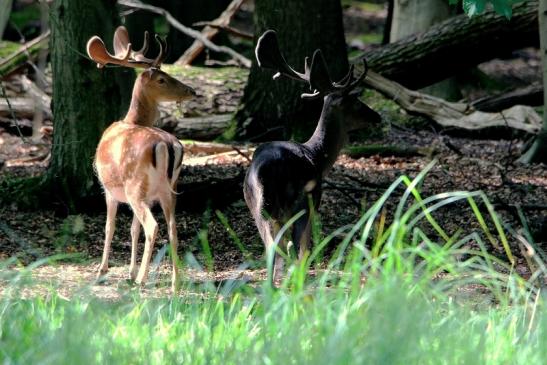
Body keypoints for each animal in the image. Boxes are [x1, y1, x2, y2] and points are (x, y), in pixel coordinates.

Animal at [86, 26, 196, 292]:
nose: (192, 91)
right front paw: (129, 271)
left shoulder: (108, 189)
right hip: (167, 191)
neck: (132, 120)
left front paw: (102, 271)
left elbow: (110, 227)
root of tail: (167, 146)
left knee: (153, 226)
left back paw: (143, 279)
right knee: (172, 228)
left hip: (135, 186)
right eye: (162, 78)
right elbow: (132, 229)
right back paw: (176, 282)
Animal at [245, 29, 382, 282]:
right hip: (298, 201)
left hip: (258, 207)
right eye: (356, 101)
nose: (376, 116)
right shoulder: (314, 198)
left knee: (272, 251)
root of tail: (263, 172)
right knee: (293, 249)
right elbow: (305, 248)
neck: (318, 156)